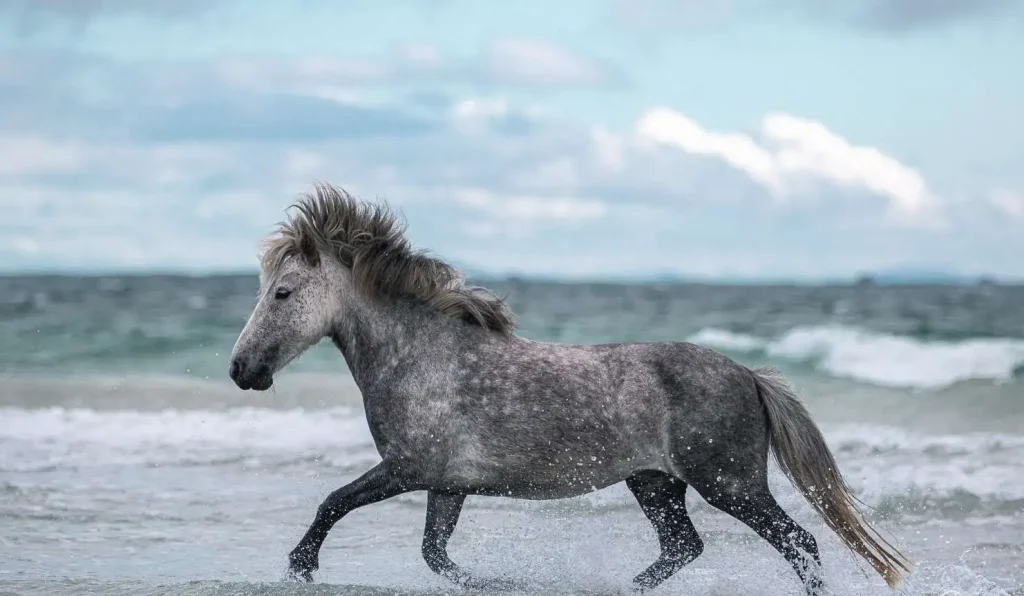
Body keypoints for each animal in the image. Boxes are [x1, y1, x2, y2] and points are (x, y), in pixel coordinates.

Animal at [228, 183, 911, 594]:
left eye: (282, 293)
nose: (242, 371)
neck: (422, 357)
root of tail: (749, 374)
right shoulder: (446, 484)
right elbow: (436, 555)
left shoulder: (407, 469)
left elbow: (335, 503)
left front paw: (300, 568)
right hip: (655, 483)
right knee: (683, 546)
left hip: (729, 483)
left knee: (798, 541)